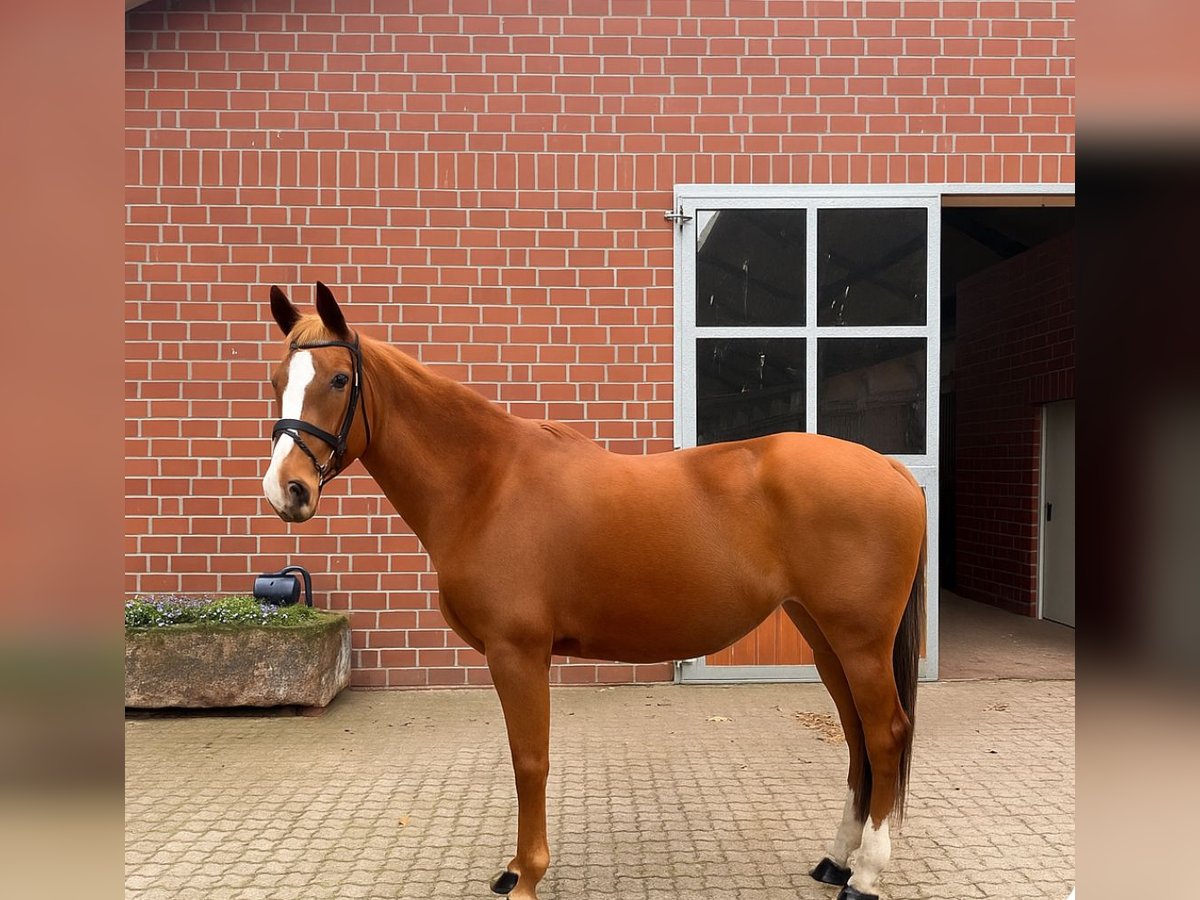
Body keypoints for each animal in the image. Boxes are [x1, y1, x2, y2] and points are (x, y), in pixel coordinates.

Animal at [261, 282, 927, 900]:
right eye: (276, 380)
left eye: (340, 379)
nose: (286, 490)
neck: (486, 483)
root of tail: (891, 468)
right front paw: (515, 867)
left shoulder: (518, 653)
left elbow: (529, 760)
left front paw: (526, 875)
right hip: (824, 637)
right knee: (856, 736)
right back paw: (836, 859)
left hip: (860, 641)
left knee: (885, 733)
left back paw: (865, 875)